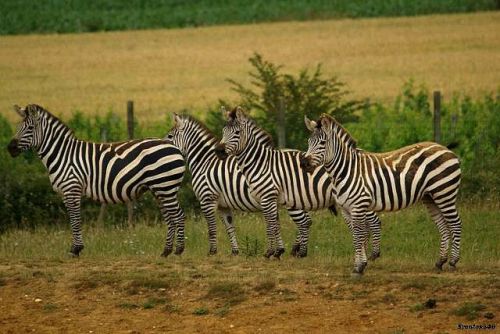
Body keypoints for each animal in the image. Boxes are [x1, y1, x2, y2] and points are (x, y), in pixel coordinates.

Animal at [6, 105, 187, 258]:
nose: (10, 148)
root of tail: (174, 147)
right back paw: (166, 251)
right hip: (160, 189)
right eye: (18, 127)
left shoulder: (72, 188)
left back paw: (178, 251)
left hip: (165, 186)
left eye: (30, 128)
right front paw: (77, 248)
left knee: (178, 215)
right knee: (170, 217)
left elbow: (75, 219)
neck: (62, 155)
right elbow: (73, 218)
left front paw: (75, 249)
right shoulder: (66, 192)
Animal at [166, 113, 318, 258]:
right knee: (307, 221)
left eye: (169, 136)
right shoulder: (223, 205)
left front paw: (212, 252)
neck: (205, 161)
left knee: (304, 222)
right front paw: (235, 252)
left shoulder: (207, 199)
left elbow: (211, 228)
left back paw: (299, 252)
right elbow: (229, 227)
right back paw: (295, 250)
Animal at [216, 106, 382, 258]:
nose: (219, 151)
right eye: (223, 131)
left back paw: (373, 254)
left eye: (237, 133)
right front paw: (278, 251)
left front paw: (269, 252)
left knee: (374, 222)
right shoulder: (270, 199)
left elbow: (270, 224)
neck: (261, 163)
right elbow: (274, 223)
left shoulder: (268, 196)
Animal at [298, 113, 462, 276]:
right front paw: (359, 265)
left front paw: (359, 267)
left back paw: (453, 261)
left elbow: (359, 235)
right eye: (309, 142)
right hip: (430, 198)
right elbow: (356, 237)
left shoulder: (359, 205)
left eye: (323, 143)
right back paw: (440, 262)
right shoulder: (346, 209)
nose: (303, 164)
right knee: (443, 226)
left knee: (456, 223)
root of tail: (444, 148)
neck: (346, 170)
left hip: (444, 193)